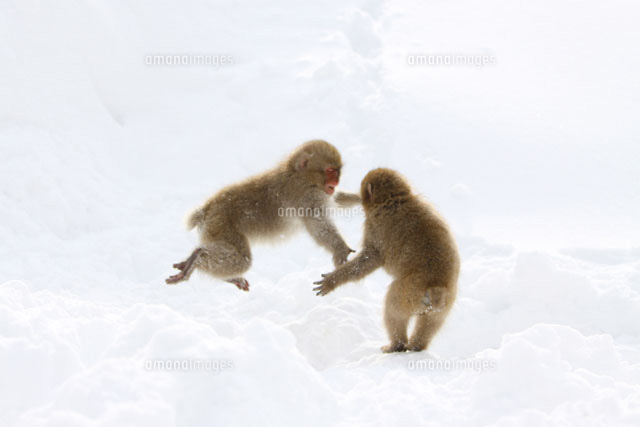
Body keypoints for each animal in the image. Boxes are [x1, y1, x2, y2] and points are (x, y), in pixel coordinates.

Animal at [166, 140, 354, 291]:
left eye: (338, 171)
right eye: (330, 170)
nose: (336, 180)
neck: (300, 175)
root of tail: (207, 208)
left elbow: (335, 201)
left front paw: (357, 198)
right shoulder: (308, 197)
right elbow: (318, 226)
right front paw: (340, 248)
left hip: (215, 230)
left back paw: (197, 258)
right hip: (221, 226)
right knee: (242, 260)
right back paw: (196, 260)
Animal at [313, 168, 459, 353]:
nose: (361, 196)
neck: (395, 199)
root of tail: (436, 286)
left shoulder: (375, 226)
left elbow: (370, 258)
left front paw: (333, 280)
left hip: (408, 291)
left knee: (393, 309)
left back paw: (396, 345)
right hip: (444, 305)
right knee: (430, 323)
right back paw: (417, 346)